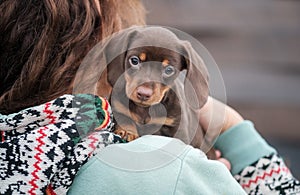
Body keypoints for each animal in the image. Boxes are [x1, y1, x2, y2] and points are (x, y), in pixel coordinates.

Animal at [103, 26, 216, 159]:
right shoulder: (120, 109)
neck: (145, 109)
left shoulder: (178, 127)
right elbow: (125, 119)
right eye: (134, 60)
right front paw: (127, 131)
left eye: (169, 70)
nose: (143, 94)